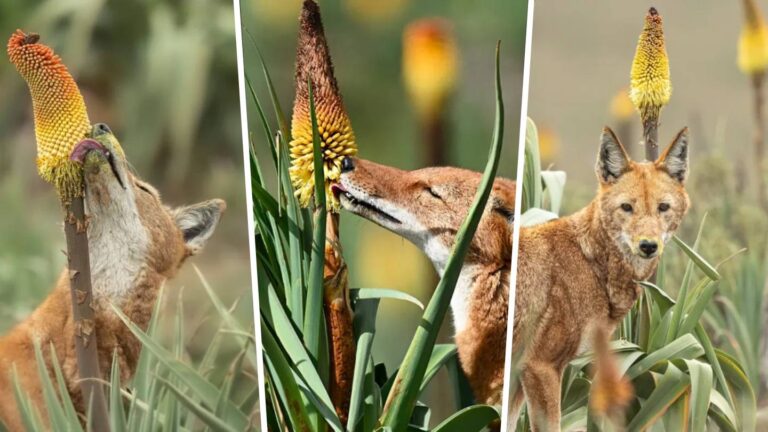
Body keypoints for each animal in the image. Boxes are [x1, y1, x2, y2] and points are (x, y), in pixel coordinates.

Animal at [510, 126, 688, 430]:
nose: (648, 246)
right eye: (627, 207)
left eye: (663, 208)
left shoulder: (521, 378)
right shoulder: (540, 367)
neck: (590, 262)